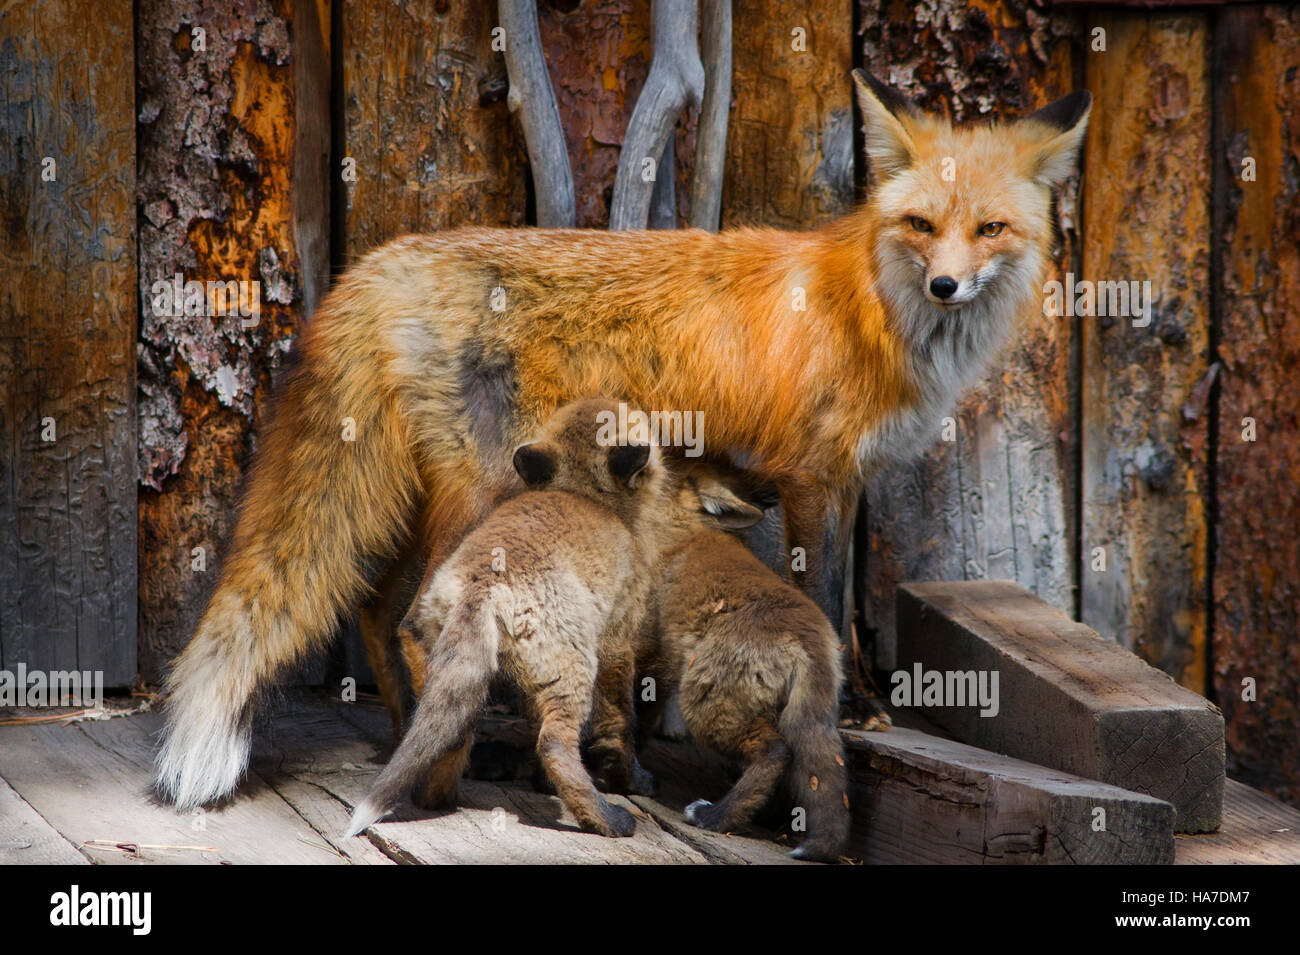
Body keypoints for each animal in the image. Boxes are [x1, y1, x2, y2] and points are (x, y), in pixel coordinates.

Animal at [156, 71, 1092, 811]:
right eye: (922, 224)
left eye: (991, 230)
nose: (946, 286)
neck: (872, 304)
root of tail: (377, 263)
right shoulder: (811, 476)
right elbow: (826, 593)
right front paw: (850, 704)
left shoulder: (850, 477)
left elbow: (848, 598)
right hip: (488, 487)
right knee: (419, 612)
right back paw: (456, 763)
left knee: (381, 609)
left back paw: (411, 739)